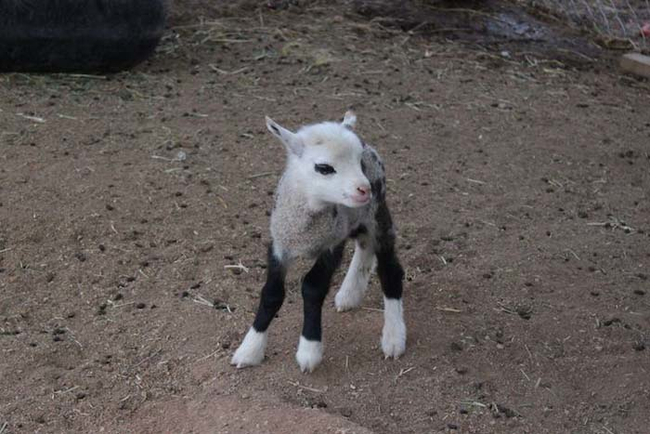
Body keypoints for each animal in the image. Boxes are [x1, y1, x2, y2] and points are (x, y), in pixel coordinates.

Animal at [229, 110, 404, 372]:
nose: (364, 190)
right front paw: (250, 349)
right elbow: (271, 293)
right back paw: (349, 294)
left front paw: (309, 349)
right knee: (364, 245)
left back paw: (394, 337)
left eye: (359, 162)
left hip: (377, 212)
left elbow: (312, 288)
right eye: (323, 168)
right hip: (358, 217)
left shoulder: (332, 243)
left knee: (390, 268)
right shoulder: (280, 244)